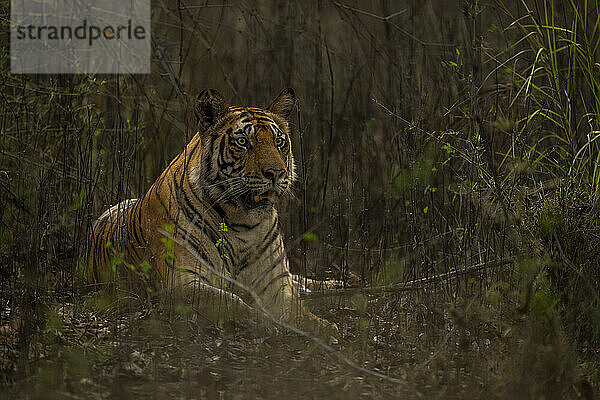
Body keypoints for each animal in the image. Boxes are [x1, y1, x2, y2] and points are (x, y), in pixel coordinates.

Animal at [87, 87, 338, 334]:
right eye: (243, 141)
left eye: (279, 142)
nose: (276, 173)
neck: (243, 223)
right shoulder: (182, 282)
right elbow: (233, 303)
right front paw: (268, 323)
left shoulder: (275, 281)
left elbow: (296, 308)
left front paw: (324, 328)